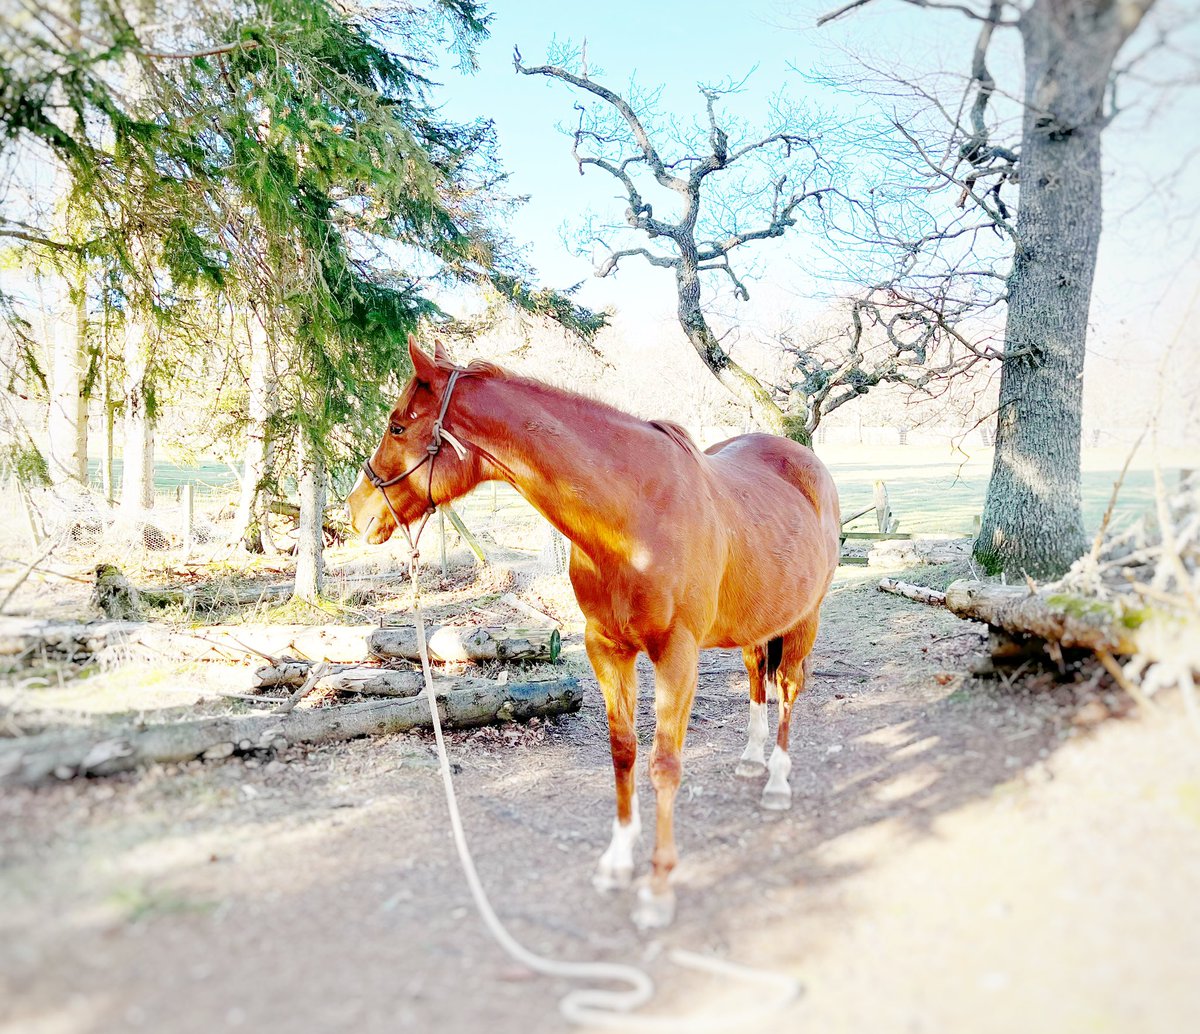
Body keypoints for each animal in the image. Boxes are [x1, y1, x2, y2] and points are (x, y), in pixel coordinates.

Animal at [347, 337, 842, 929]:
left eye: (397, 426)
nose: (355, 511)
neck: (633, 518)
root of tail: (806, 462)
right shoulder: (605, 648)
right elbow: (623, 751)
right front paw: (618, 860)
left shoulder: (676, 655)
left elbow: (664, 764)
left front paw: (658, 887)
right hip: (754, 625)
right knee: (755, 681)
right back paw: (750, 759)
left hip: (804, 620)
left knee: (787, 689)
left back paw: (777, 782)